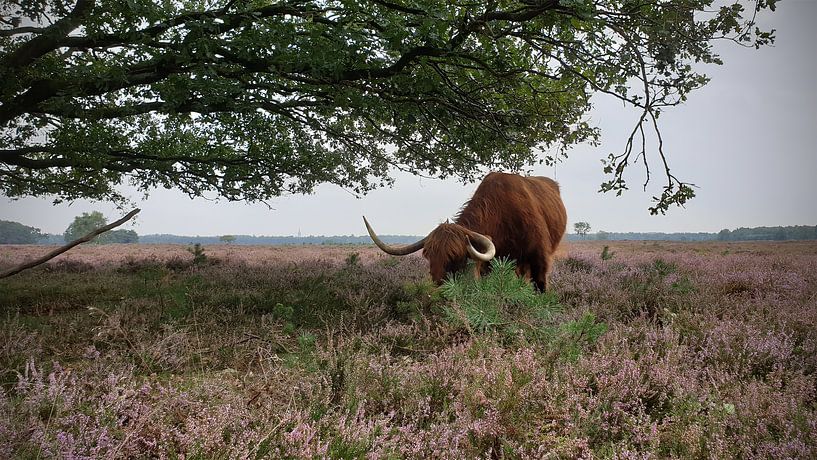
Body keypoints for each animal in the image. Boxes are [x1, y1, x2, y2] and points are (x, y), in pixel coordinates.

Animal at [364, 171, 568, 292]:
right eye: (428, 256)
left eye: (455, 257)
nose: (439, 288)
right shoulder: (489, 263)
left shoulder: (539, 257)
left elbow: (540, 285)